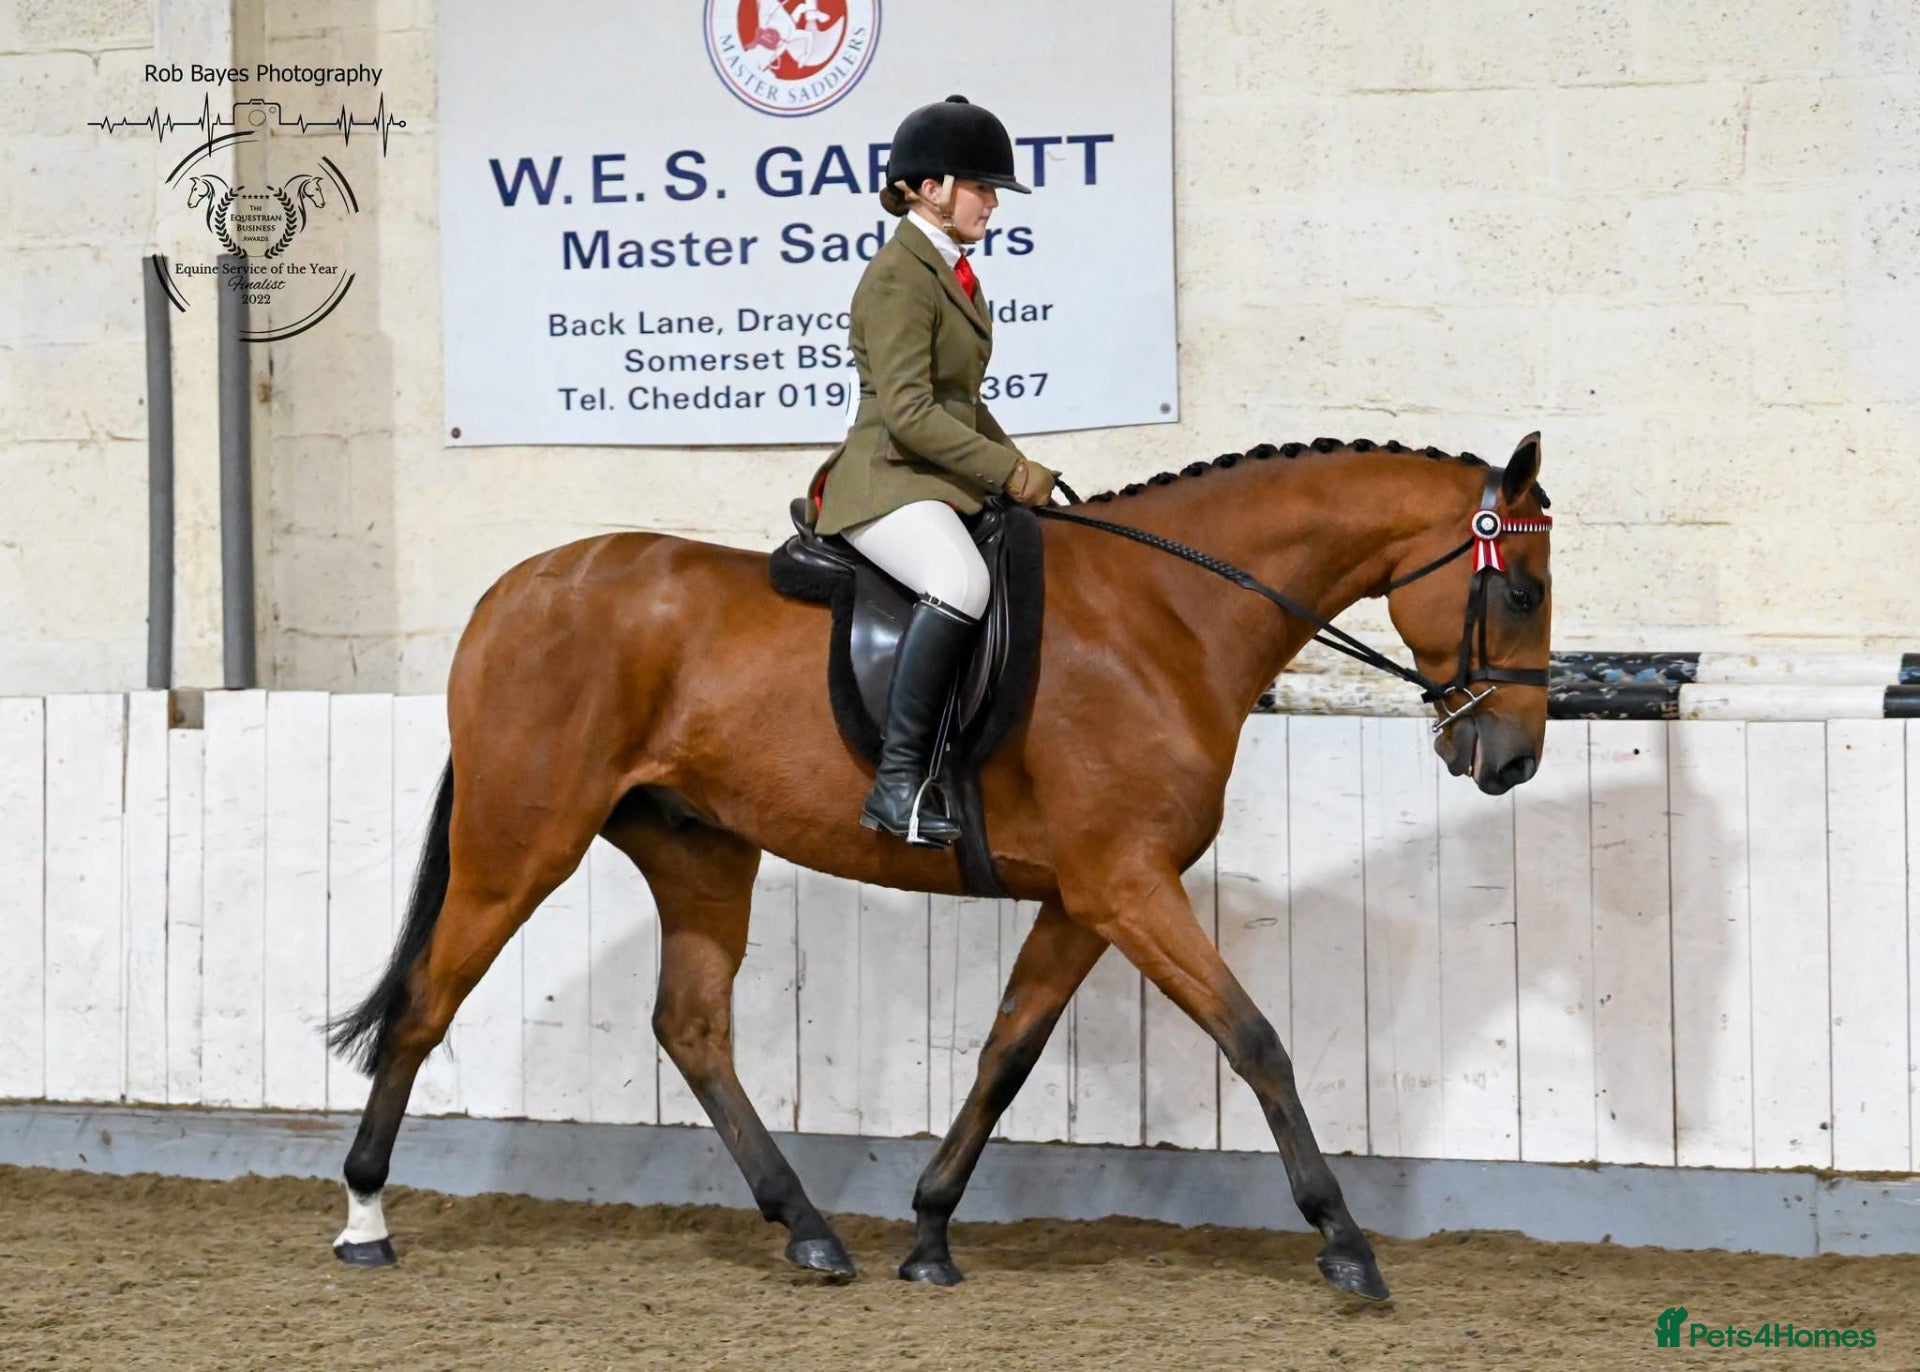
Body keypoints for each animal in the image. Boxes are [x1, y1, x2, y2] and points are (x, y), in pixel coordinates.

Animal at [325, 432, 1554, 1304]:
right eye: (1524, 592)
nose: (1512, 761)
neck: (1168, 618)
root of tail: (515, 591)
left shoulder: (1086, 898)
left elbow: (1006, 1055)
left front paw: (927, 1231)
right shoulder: (1126, 885)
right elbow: (1255, 1039)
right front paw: (1346, 1244)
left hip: (700, 851)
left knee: (692, 1026)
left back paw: (810, 1230)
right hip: (520, 844)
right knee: (429, 1002)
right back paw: (364, 1219)